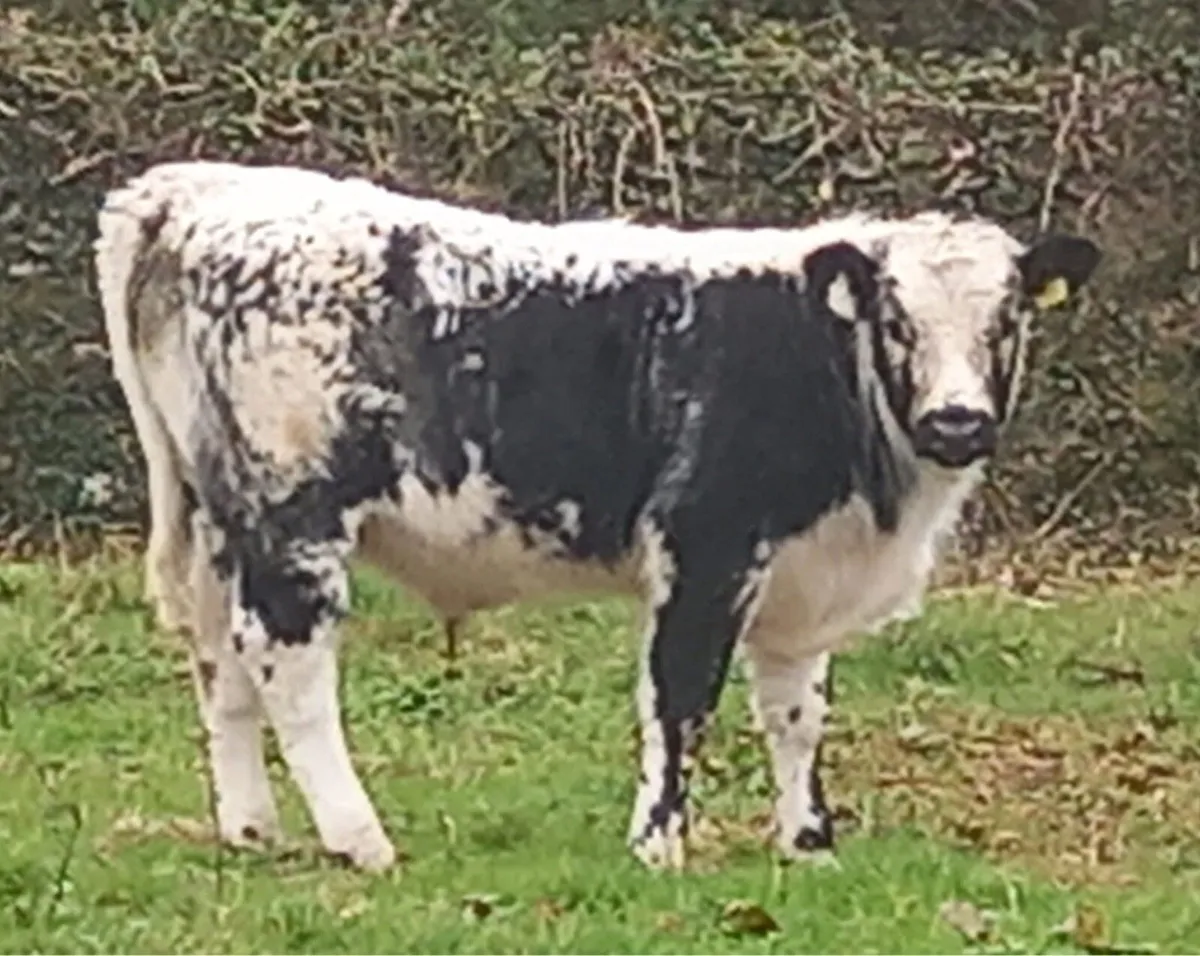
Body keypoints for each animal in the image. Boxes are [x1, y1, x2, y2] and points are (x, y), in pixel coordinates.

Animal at [94, 161, 1101, 873]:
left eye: (1007, 318)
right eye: (896, 319)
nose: (957, 421)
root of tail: (202, 189)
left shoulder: (802, 572)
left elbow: (797, 712)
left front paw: (808, 843)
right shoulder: (707, 546)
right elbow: (680, 698)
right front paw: (659, 845)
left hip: (222, 521)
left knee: (220, 660)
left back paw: (252, 831)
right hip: (293, 518)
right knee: (288, 664)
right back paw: (360, 839)